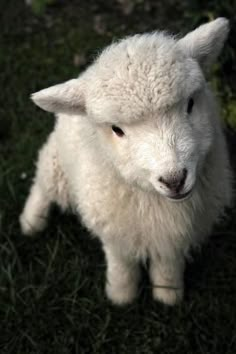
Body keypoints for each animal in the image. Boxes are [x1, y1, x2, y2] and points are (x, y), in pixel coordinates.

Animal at [19, 19, 232, 306]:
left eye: (190, 104)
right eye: (116, 129)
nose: (174, 179)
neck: (159, 202)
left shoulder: (173, 235)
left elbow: (167, 262)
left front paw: (168, 294)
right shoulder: (114, 228)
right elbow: (121, 263)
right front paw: (121, 296)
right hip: (57, 164)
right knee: (42, 185)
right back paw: (31, 222)